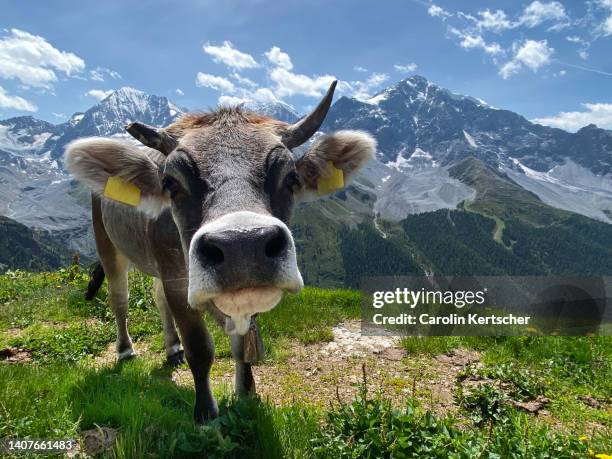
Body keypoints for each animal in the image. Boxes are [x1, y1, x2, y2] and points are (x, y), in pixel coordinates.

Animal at [64, 82, 376, 424]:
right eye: (171, 183)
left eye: (291, 178)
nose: (243, 245)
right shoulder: (177, 280)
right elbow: (200, 349)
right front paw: (205, 413)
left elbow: (242, 343)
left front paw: (247, 392)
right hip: (107, 242)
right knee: (119, 298)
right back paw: (125, 349)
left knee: (157, 297)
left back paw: (171, 348)